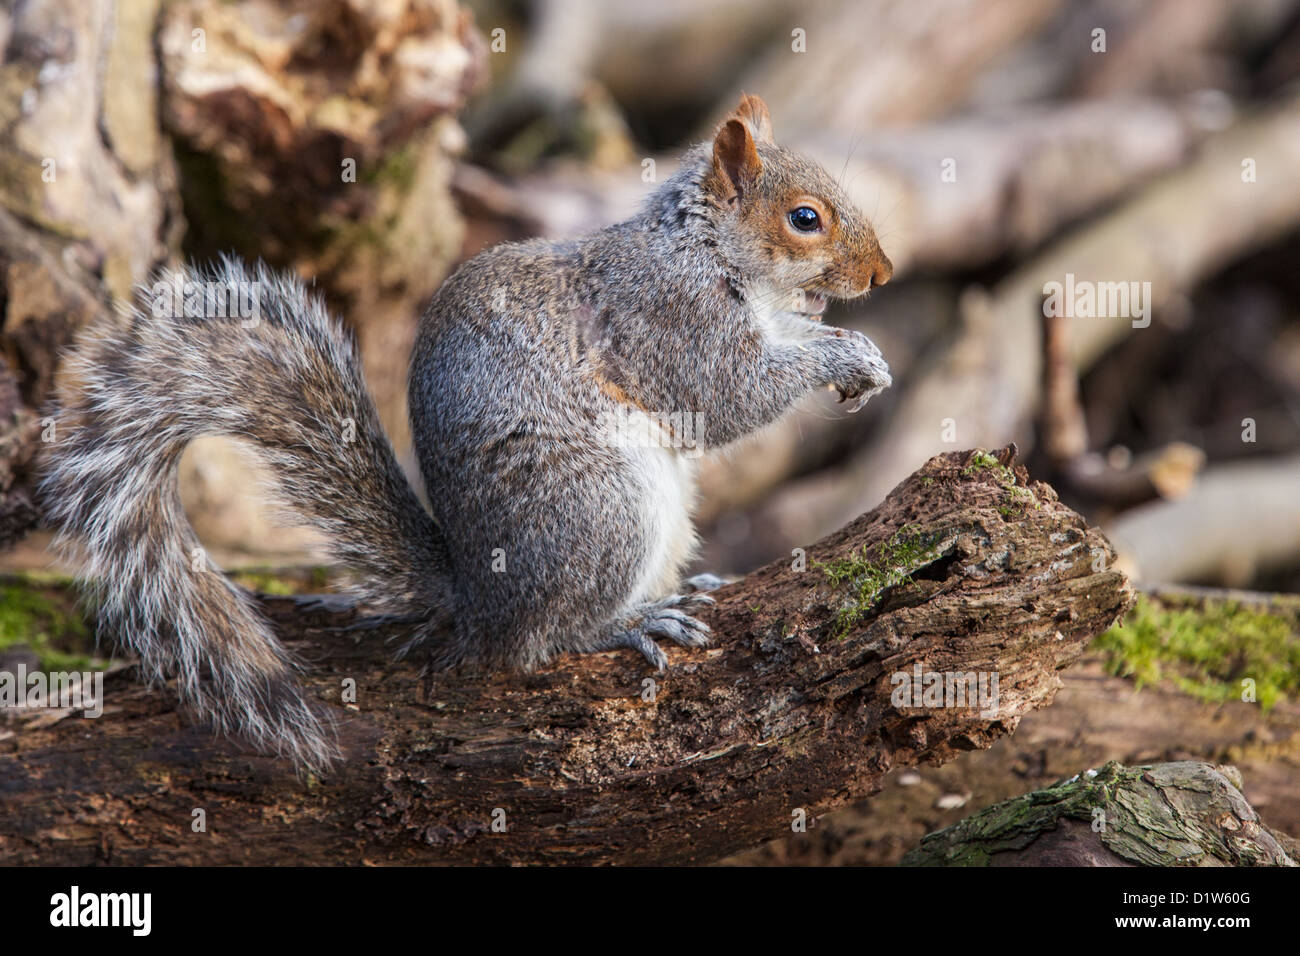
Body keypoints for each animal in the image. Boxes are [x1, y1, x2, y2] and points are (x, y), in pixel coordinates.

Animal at [40, 93, 894, 775]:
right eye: (806, 219)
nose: (883, 275)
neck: (706, 250)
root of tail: (477, 596)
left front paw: (860, 353)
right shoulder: (669, 318)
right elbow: (724, 398)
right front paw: (840, 356)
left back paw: (684, 586)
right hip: (597, 507)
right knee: (541, 641)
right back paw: (626, 621)